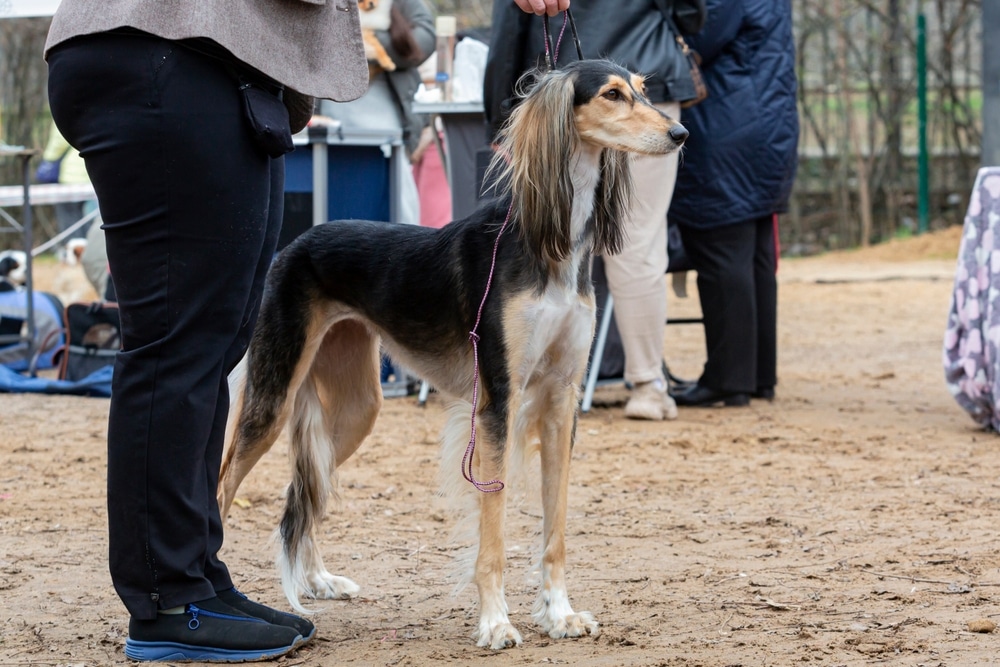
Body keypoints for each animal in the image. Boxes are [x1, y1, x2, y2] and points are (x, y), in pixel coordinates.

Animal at [218, 60, 688, 648]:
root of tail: (293, 245)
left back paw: (319, 580)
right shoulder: (497, 402)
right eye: (612, 94)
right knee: (222, 486)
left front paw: (558, 613)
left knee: (302, 489)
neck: (547, 241)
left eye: (645, 91)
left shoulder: (562, 399)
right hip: (274, 394)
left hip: (354, 411)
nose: (680, 133)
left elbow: (555, 528)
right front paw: (495, 622)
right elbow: (494, 528)